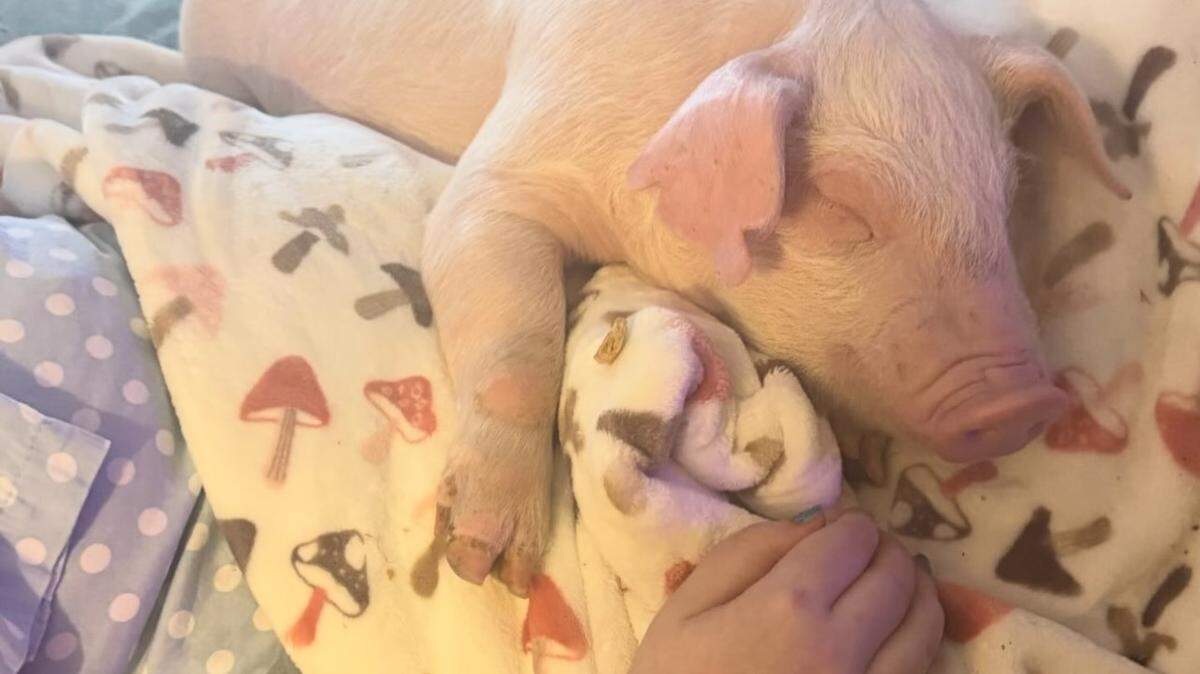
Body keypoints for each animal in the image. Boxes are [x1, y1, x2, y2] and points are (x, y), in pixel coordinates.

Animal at [180, 0, 1129, 595]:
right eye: (847, 201)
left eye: (1005, 192)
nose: (1026, 400)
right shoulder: (499, 175)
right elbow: (517, 347)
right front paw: (487, 567)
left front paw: (864, 452)